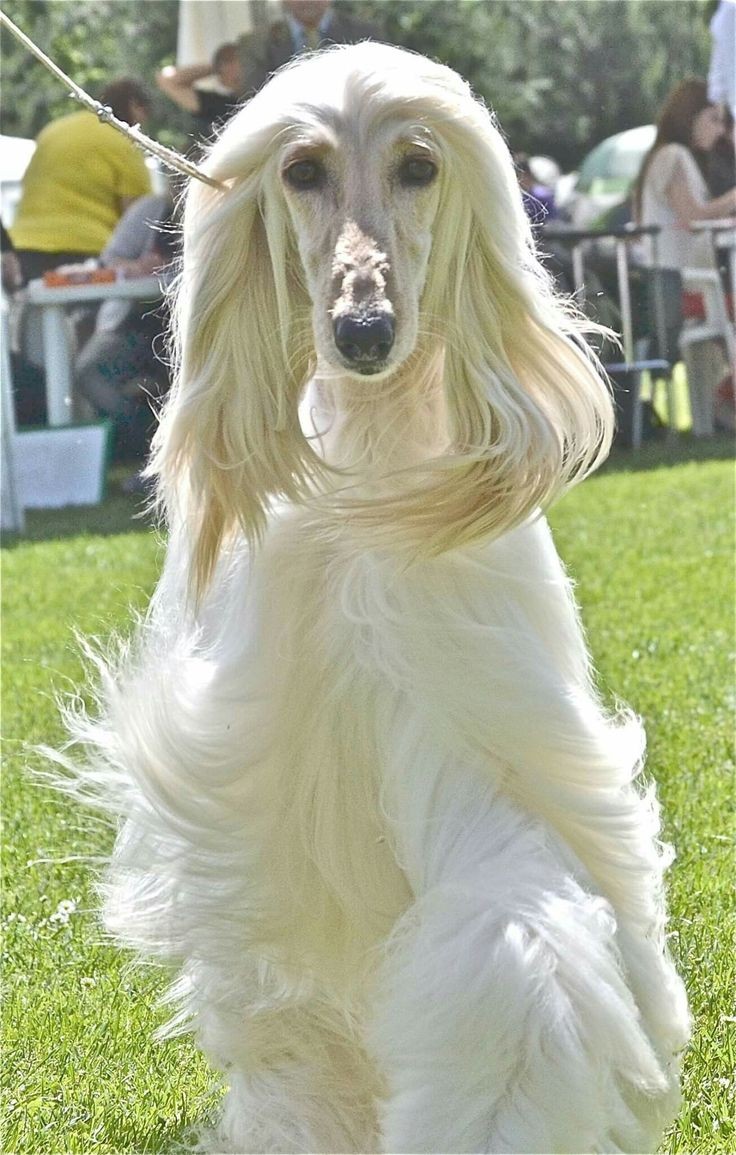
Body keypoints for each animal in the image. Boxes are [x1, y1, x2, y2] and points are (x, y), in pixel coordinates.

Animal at [65, 43, 690, 1153]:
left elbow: (518, 940)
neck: (374, 458)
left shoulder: (480, 725)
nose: (363, 332)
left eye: (418, 166)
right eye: (302, 171)